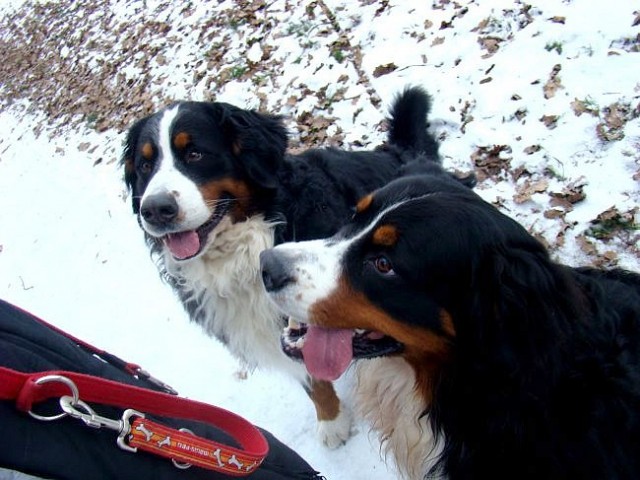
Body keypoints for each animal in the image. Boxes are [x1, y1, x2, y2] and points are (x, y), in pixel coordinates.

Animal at [121, 88, 476, 448]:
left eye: (194, 153)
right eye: (145, 165)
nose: (155, 210)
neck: (246, 247)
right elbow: (310, 376)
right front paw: (331, 420)